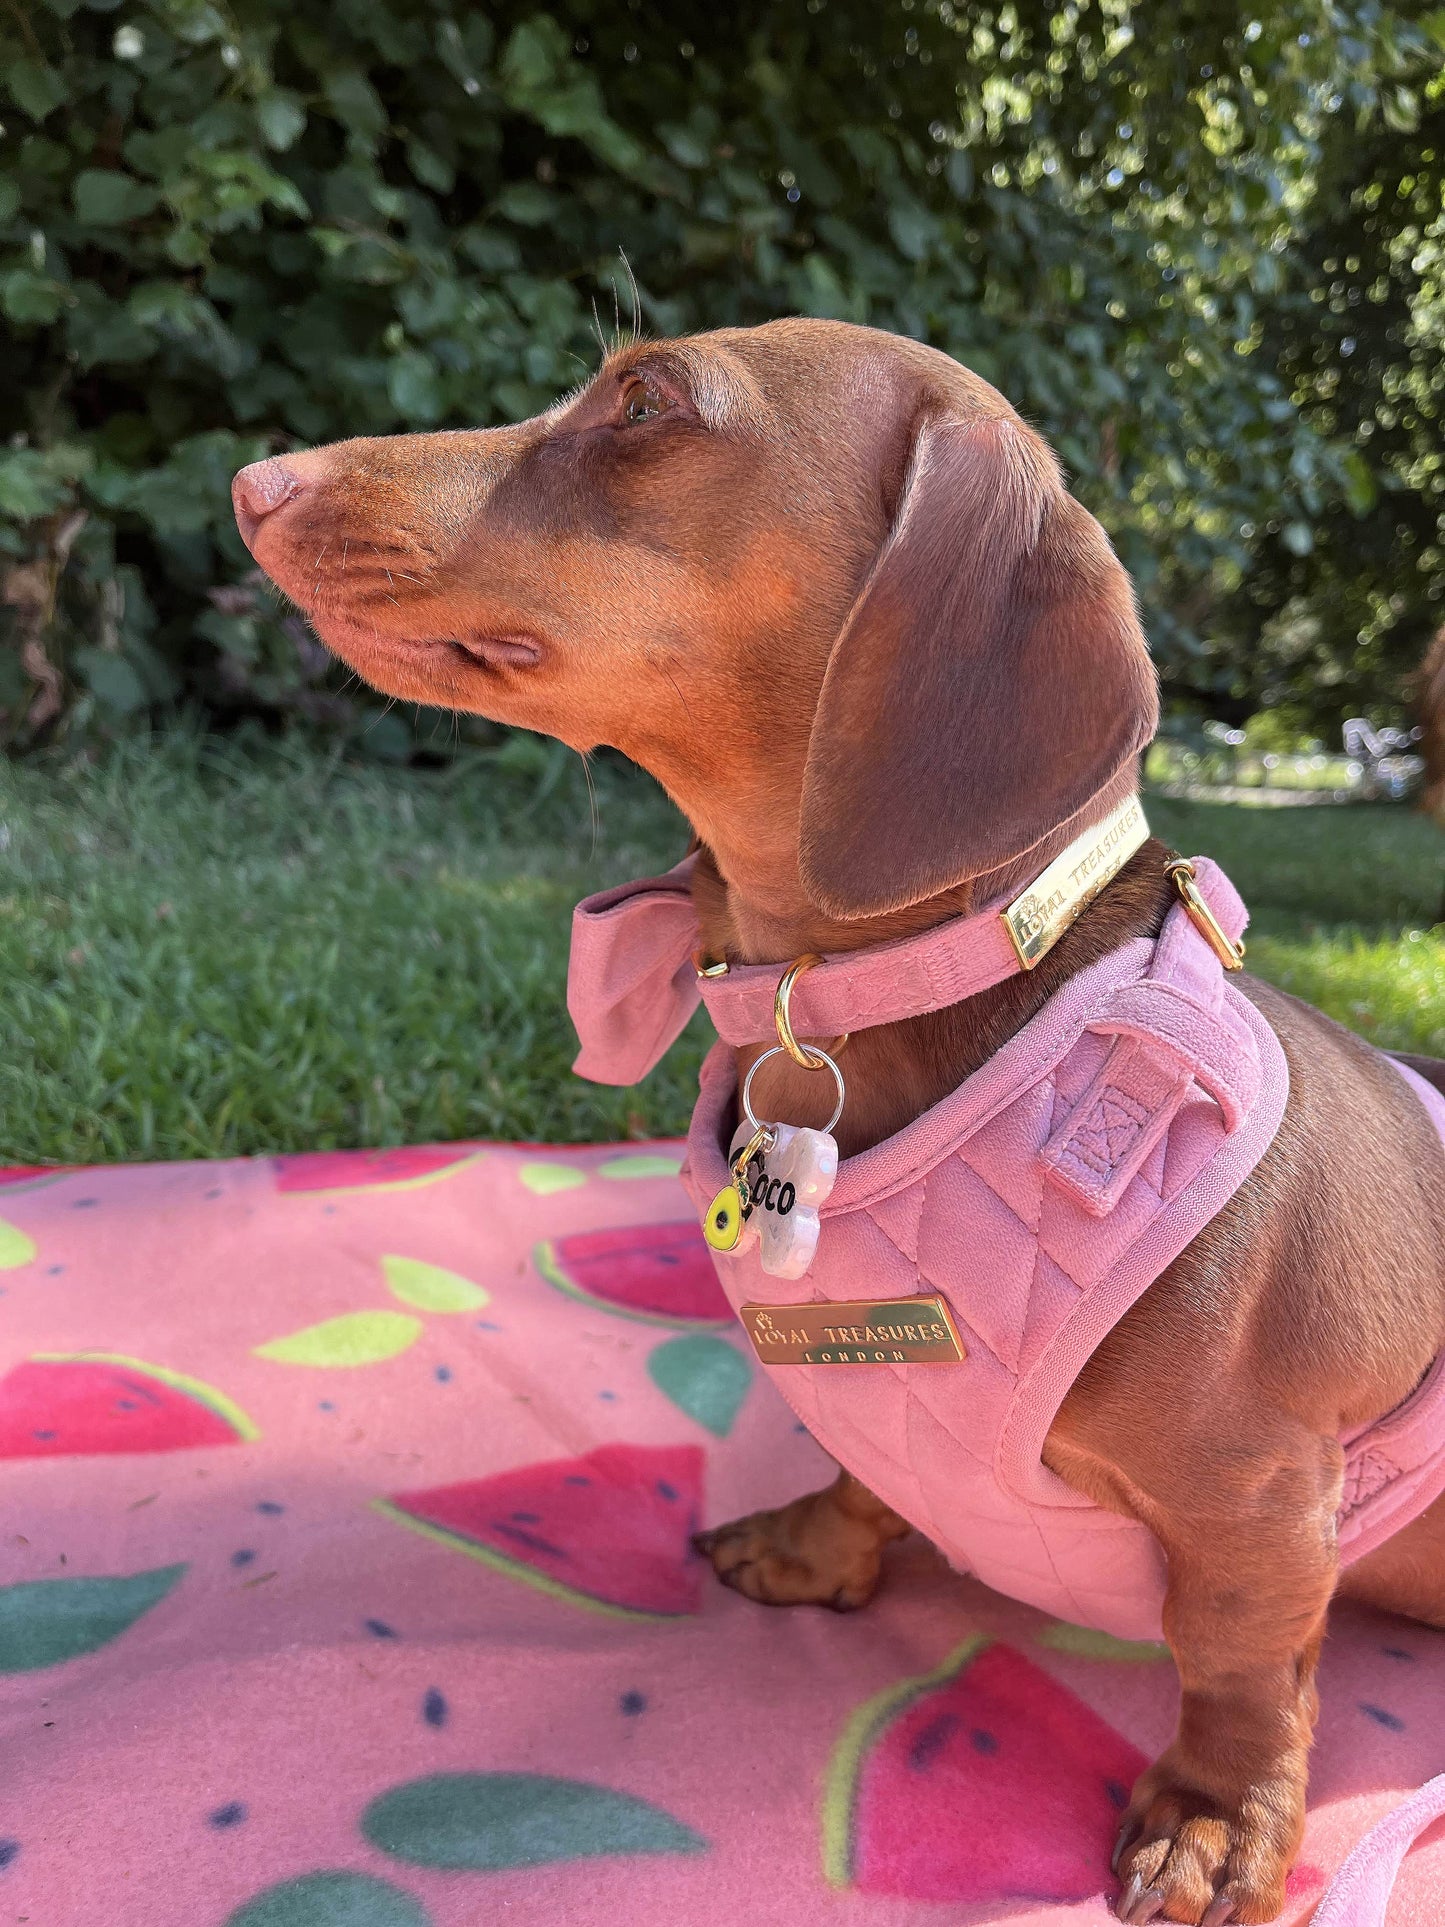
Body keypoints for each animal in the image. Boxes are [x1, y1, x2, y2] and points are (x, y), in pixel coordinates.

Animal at [235, 323, 1445, 1919]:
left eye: (645, 400)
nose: (252, 481)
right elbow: (858, 1476)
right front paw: (814, 1546)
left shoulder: (1256, 1496)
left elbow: (1241, 1656)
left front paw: (1211, 1814)